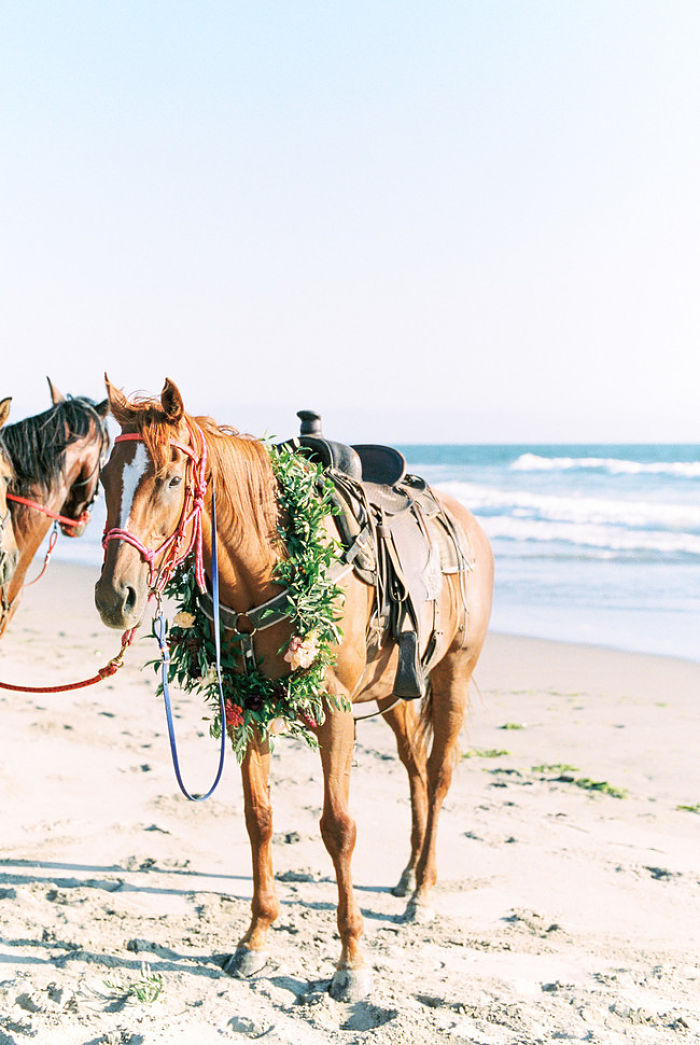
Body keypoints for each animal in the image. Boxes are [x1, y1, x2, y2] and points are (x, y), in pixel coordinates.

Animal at [96, 380, 497, 999]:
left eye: (171, 480)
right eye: (103, 480)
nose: (116, 597)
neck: (269, 566)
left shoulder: (334, 712)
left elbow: (338, 827)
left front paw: (351, 961)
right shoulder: (245, 705)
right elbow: (258, 817)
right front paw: (255, 940)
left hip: (453, 673)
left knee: (439, 774)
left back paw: (425, 890)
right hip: (393, 692)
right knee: (414, 767)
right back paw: (408, 875)